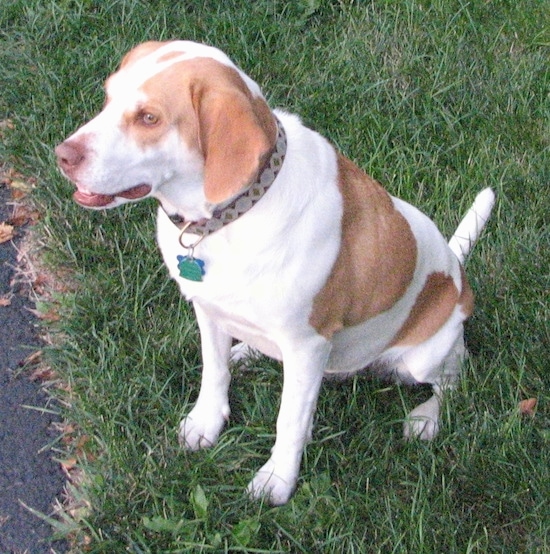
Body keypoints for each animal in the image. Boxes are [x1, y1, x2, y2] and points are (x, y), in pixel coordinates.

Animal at [56, 38, 496, 504]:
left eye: (148, 118)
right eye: (108, 96)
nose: (62, 155)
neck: (228, 219)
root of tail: (456, 273)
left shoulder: (307, 345)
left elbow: (290, 421)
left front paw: (276, 481)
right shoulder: (208, 310)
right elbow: (214, 373)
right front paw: (205, 423)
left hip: (426, 358)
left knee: (453, 382)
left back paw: (426, 419)